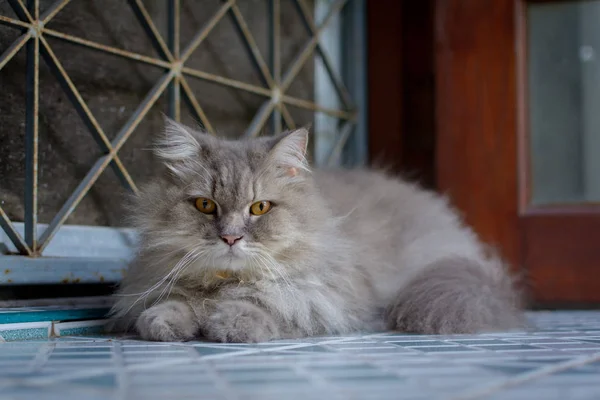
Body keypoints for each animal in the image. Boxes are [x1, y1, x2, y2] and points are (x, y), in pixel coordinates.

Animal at [110, 119, 524, 340]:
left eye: (259, 208)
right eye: (206, 206)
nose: (230, 237)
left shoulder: (326, 297)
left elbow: (273, 304)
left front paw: (231, 322)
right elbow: (172, 303)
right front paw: (167, 321)